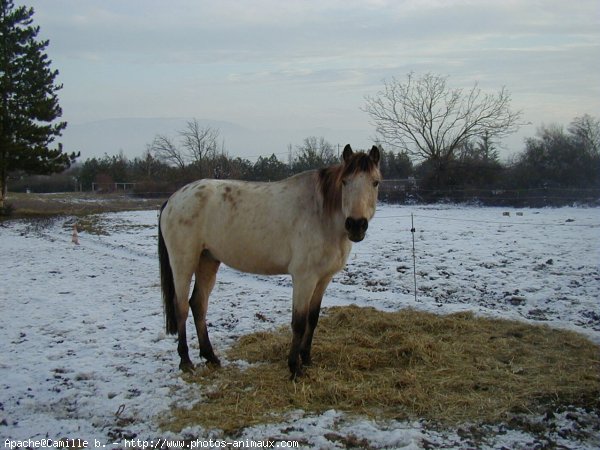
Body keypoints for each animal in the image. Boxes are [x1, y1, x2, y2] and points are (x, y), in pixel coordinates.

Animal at [157, 143, 378, 376]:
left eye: (375, 182)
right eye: (345, 182)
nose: (356, 225)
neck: (321, 213)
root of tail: (173, 199)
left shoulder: (323, 279)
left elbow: (313, 318)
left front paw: (307, 359)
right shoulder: (304, 278)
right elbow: (299, 322)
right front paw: (294, 367)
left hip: (207, 261)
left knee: (198, 304)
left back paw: (211, 357)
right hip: (183, 263)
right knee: (181, 306)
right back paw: (185, 361)